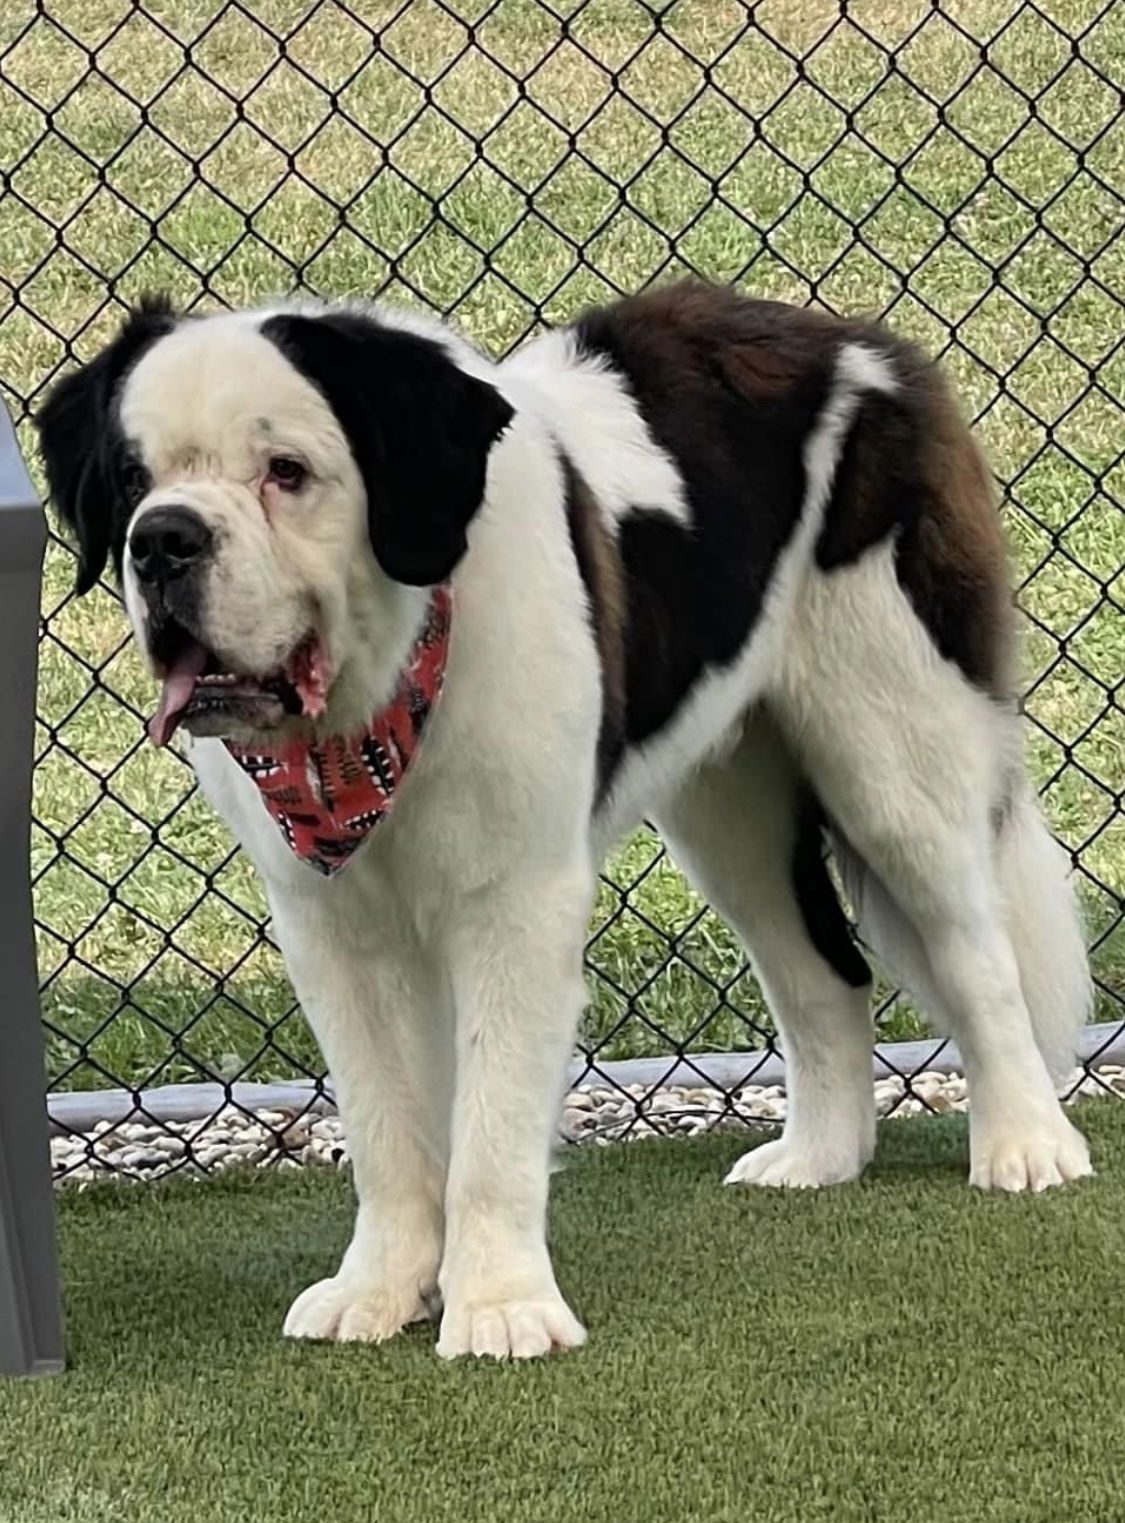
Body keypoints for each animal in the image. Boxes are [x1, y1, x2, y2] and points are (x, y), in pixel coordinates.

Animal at [35, 283, 1089, 1358]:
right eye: (131, 480)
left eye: (285, 472)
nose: (163, 539)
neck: (376, 708)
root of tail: (857, 339)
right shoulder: (330, 927)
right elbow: (385, 1121)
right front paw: (380, 1289)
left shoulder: (514, 902)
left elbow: (492, 1120)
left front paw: (499, 1307)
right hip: (729, 812)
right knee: (821, 973)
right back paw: (816, 1157)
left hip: (894, 749)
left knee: (975, 951)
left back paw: (1026, 1144)